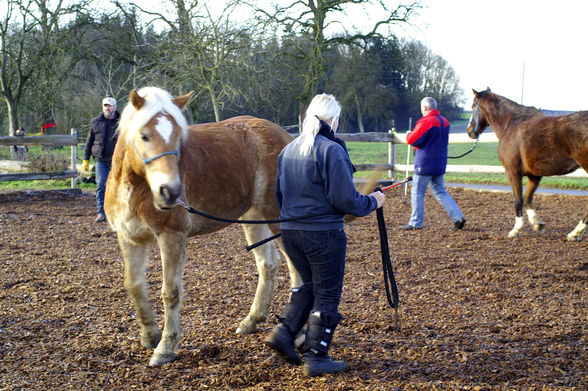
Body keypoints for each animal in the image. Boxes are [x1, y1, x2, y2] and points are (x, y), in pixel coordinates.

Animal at [103, 86, 298, 368]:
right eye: (144, 135)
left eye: (178, 138)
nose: (171, 192)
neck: (135, 187)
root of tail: (289, 138)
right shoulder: (129, 238)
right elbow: (134, 285)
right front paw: (149, 335)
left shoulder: (172, 236)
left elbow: (171, 292)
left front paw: (165, 348)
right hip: (255, 217)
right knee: (268, 265)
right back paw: (252, 320)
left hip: (277, 218)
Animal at [468, 88, 588, 242]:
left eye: (473, 106)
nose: (470, 131)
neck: (510, 124)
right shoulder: (534, 175)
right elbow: (527, 198)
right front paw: (537, 224)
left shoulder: (512, 172)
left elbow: (518, 200)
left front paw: (516, 229)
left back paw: (575, 233)